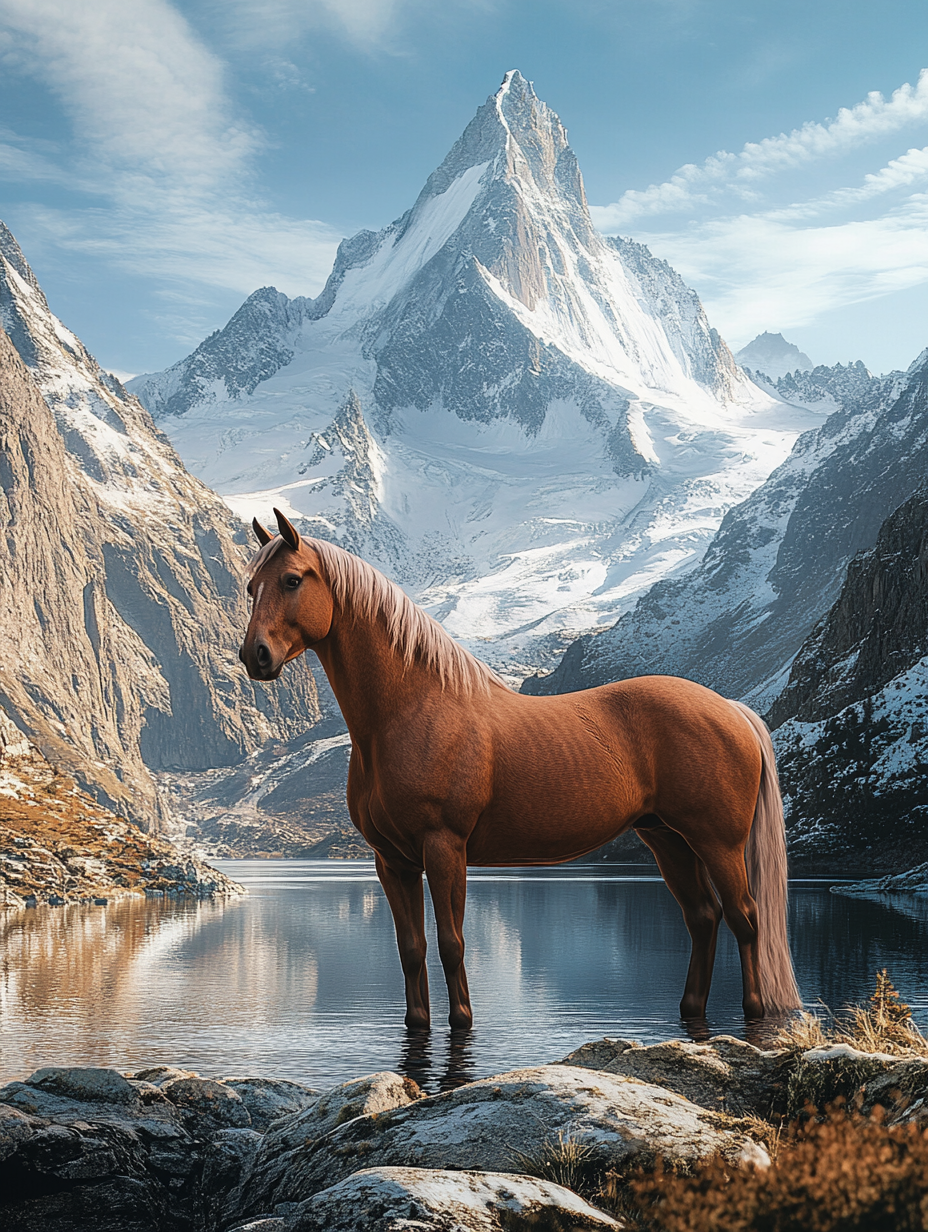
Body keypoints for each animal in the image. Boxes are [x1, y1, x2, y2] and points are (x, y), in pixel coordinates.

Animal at [239, 508, 801, 1030]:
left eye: (293, 580)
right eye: (250, 586)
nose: (255, 656)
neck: (410, 710)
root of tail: (731, 708)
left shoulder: (444, 848)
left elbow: (451, 944)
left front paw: (463, 1022)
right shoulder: (391, 861)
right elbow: (411, 949)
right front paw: (419, 1024)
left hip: (717, 842)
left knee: (745, 919)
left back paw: (754, 1013)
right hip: (667, 839)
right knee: (703, 918)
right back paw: (690, 1012)